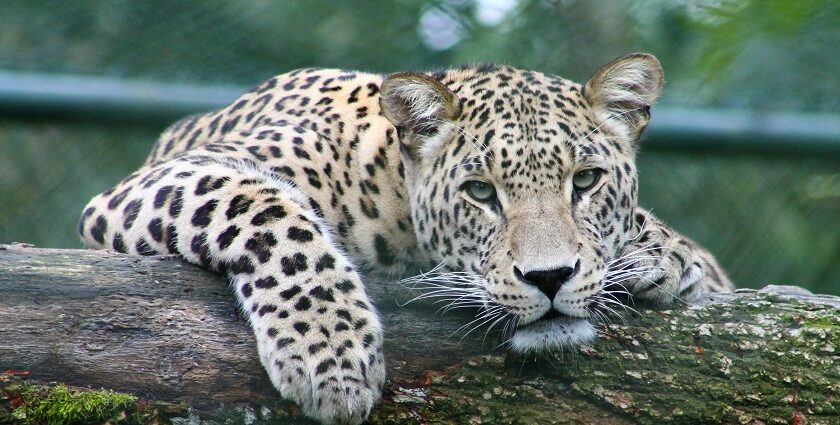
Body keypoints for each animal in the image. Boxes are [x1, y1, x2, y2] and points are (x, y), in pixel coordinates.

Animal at [82, 53, 732, 424]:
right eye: (480, 192)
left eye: (587, 181)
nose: (549, 278)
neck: (389, 189)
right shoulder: (159, 182)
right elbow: (267, 211)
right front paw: (331, 355)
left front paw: (664, 254)